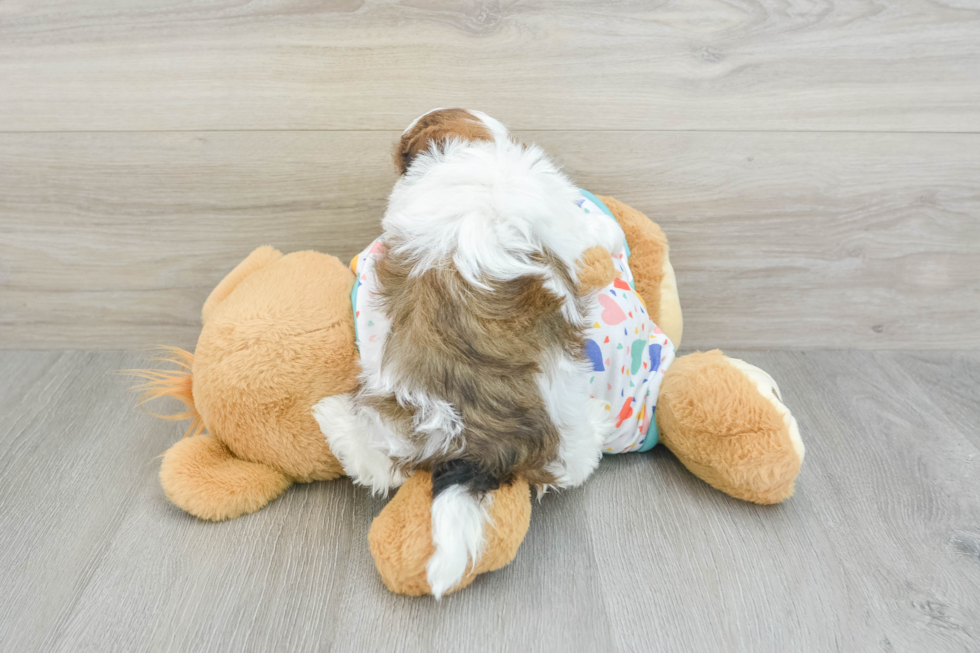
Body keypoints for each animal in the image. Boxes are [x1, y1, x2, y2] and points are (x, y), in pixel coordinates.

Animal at [314, 108, 620, 596]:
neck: (473, 155)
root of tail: (472, 449)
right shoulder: (557, 213)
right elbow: (584, 228)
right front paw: (608, 230)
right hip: (563, 419)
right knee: (571, 464)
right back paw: (595, 431)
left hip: (387, 419)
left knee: (378, 464)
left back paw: (332, 419)